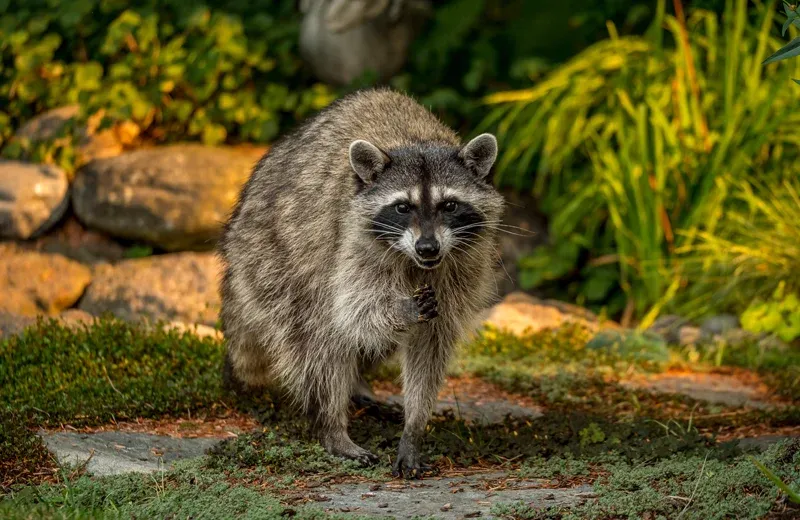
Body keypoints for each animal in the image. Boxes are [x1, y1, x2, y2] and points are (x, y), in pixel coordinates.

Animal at [217, 87, 506, 478]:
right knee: (318, 335)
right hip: (275, 259)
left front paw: (415, 426)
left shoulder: (462, 264)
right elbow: (354, 311)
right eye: (402, 207)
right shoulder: (352, 240)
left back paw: (358, 388)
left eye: (449, 205)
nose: (427, 247)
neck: (415, 141)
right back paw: (331, 424)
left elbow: (431, 342)